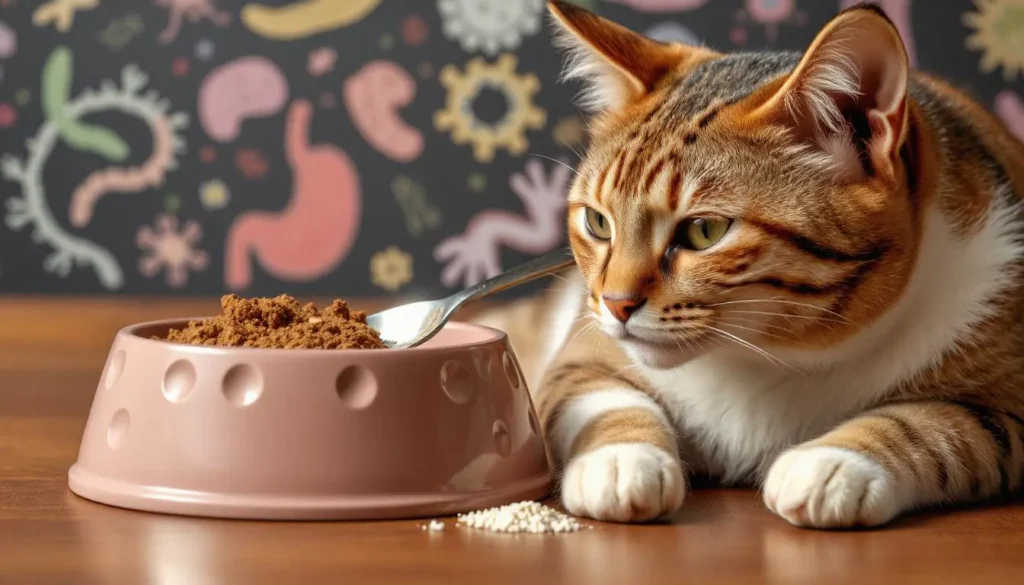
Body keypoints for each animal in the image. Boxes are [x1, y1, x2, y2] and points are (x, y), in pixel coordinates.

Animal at [473, 1, 1024, 532]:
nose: (616, 304)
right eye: (597, 222)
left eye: (704, 231)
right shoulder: (580, 353)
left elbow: (932, 425)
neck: (772, 354)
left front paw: (834, 464)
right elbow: (596, 394)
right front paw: (619, 461)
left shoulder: (1008, 397)